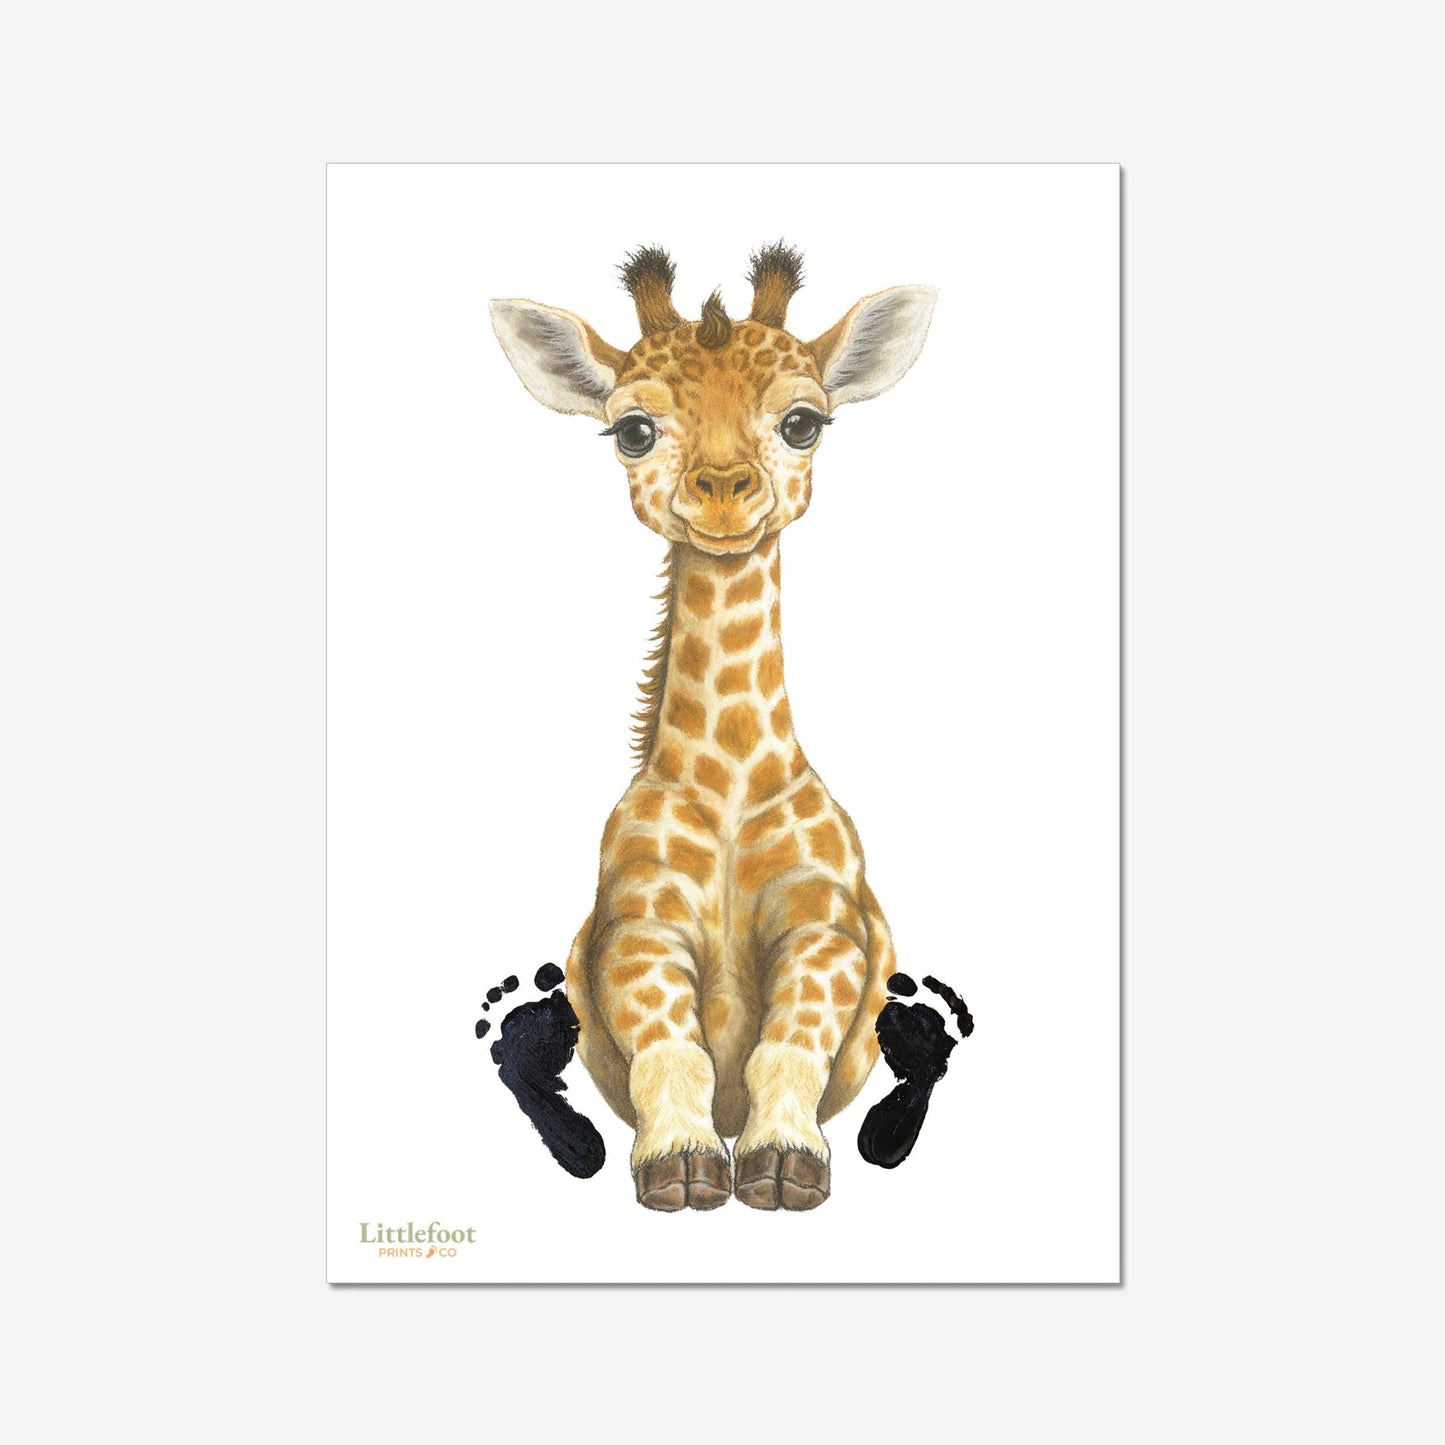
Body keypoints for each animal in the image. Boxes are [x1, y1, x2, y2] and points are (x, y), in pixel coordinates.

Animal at [490, 245, 936, 1210]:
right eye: (632, 431)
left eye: (803, 422)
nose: (725, 493)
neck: (730, 785)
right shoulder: (638, 923)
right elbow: (674, 1045)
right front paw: (681, 1163)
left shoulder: (826, 921)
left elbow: (788, 1040)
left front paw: (784, 1161)